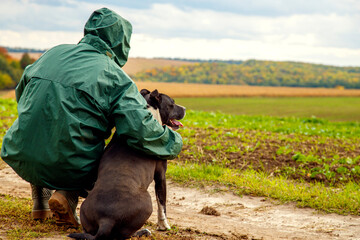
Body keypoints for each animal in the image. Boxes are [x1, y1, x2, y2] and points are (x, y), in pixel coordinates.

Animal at [68, 89, 186, 240]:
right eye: (172, 103)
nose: (185, 109)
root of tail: (106, 220)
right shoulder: (161, 175)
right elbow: (162, 204)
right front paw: (164, 226)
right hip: (147, 202)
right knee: (125, 235)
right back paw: (142, 231)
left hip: (86, 211)